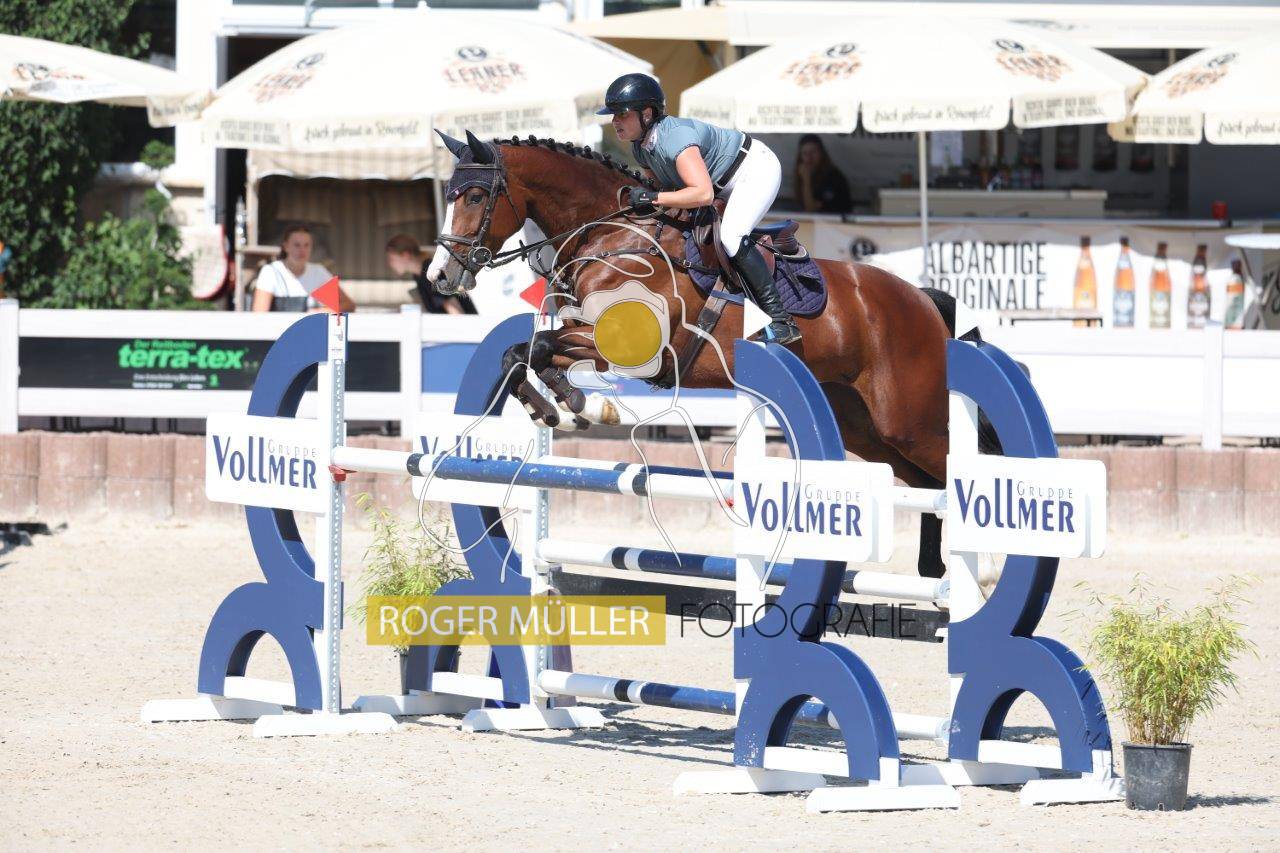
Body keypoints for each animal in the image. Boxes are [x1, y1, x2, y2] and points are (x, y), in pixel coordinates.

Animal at [427, 130, 971, 578]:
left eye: (475, 196)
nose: (439, 276)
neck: (614, 237)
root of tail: (922, 298)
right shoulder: (589, 337)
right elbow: (524, 353)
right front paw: (563, 407)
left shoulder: (627, 348)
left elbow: (539, 347)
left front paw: (576, 405)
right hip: (866, 426)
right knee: (925, 484)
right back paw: (934, 571)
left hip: (910, 420)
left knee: (950, 471)